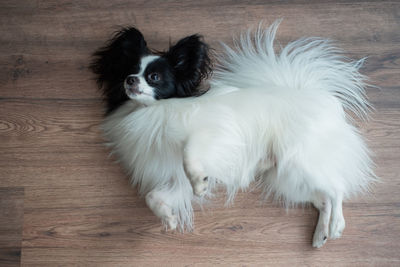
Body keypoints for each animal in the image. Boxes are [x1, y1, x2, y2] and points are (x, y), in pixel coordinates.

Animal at [90, 21, 376, 249]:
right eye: (128, 70)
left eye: (154, 77)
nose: (130, 80)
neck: (150, 112)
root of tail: (313, 94)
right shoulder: (175, 181)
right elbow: (153, 197)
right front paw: (167, 217)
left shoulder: (211, 133)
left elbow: (189, 152)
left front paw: (200, 182)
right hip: (288, 178)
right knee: (323, 198)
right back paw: (321, 234)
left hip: (299, 161)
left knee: (336, 187)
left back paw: (336, 225)